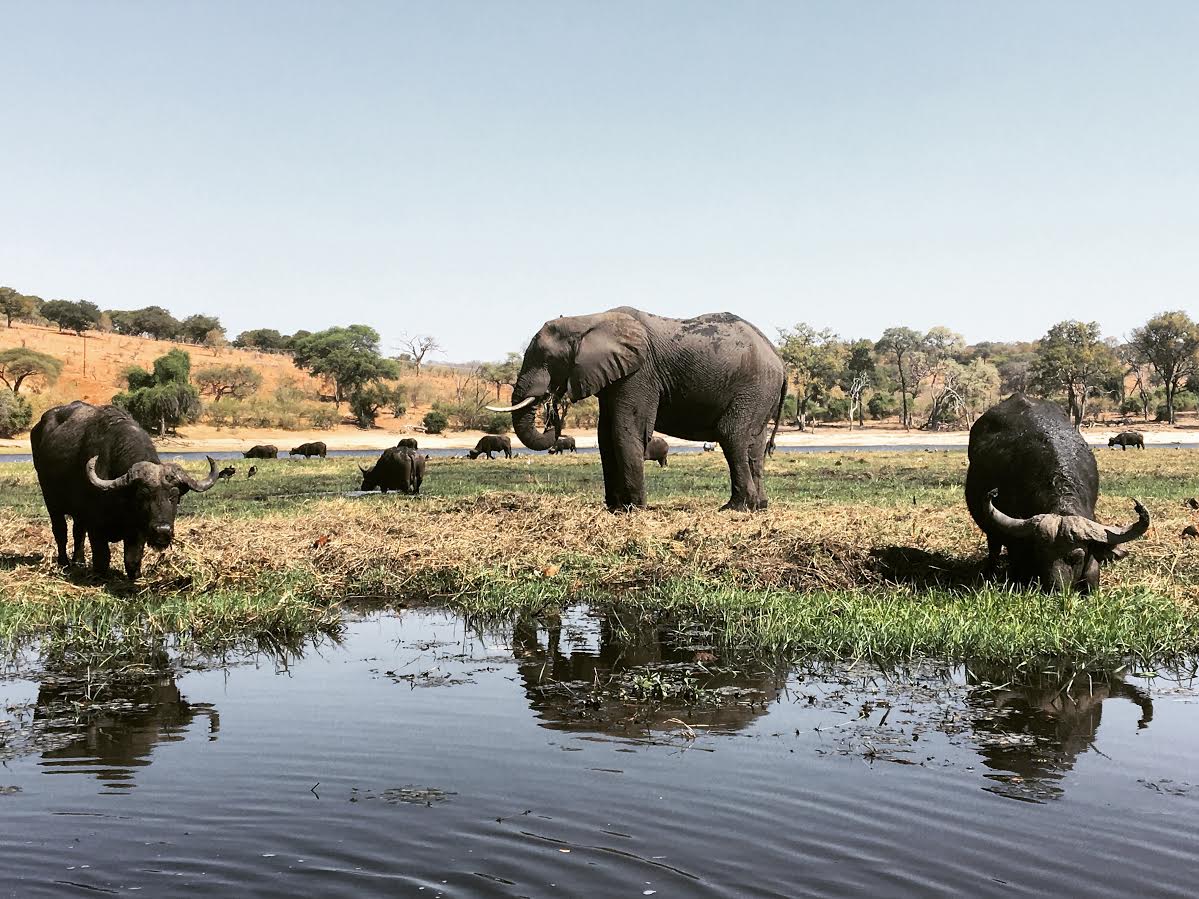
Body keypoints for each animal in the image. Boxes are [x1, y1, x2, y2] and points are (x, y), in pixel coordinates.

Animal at [31, 402, 220, 584]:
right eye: (142, 495)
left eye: (174, 496)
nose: (162, 531)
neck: (121, 498)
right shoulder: (95, 526)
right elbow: (102, 557)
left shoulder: (138, 530)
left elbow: (132, 558)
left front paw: (134, 578)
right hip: (51, 501)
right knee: (60, 532)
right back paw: (64, 563)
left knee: (78, 532)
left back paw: (79, 562)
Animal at [486, 309, 786, 510]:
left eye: (548, 359)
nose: (553, 408)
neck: (588, 320)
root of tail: (778, 358)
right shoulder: (612, 376)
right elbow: (605, 437)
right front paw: (615, 509)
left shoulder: (639, 374)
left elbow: (626, 430)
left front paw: (635, 509)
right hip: (761, 393)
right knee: (754, 445)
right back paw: (760, 507)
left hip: (753, 387)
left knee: (731, 435)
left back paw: (735, 508)